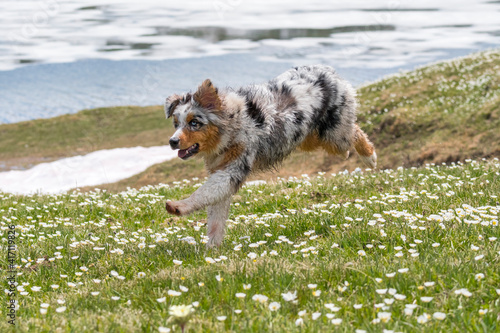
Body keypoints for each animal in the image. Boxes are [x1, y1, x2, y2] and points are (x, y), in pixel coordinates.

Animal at [163, 65, 376, 246]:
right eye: (176, 123)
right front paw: (212, 250)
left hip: (334, 136)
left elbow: (203, 193)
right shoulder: (222, 172)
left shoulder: (233, 170)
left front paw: (177, 206)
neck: (231, 125)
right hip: (310, 138)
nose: (172, 141)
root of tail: (329, 71)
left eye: (194, 123)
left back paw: (370, 157)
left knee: (354, 132)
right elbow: (216, 214)